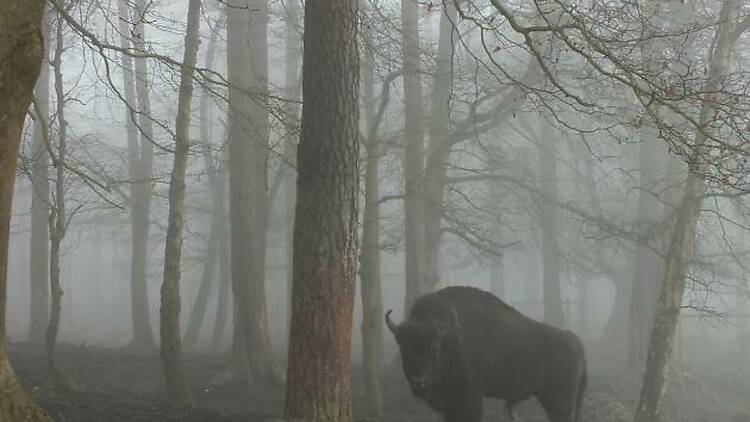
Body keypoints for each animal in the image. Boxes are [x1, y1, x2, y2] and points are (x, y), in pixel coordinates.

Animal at [388, 286, 588, 420]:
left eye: (435, 349)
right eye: (403, 348)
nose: (419, 382)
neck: (452, 340)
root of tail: (575, 340)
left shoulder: (470, 397)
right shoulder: (449, 405)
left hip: (561, 401)